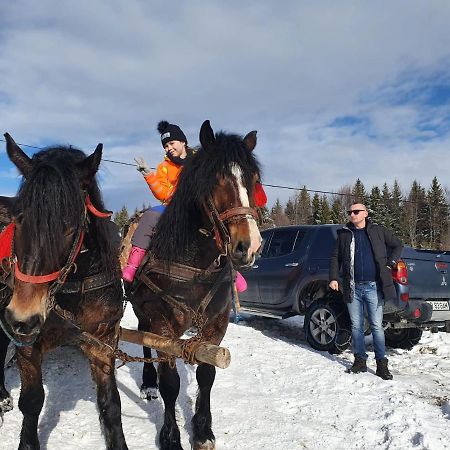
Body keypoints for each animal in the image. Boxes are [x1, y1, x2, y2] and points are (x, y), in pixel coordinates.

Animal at [0, 135, 128, 450]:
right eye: (19, 219)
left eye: (71, 227)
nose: (23, 317)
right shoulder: (27, 345)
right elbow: (32, 402)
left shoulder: (103, 344)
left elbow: (111, 405)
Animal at [129, 120, 264, 450]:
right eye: (215, 179)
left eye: (253, 180)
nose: (249, 246)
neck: (195, 266)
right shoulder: (162, 323)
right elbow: (170, 383)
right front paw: (170, 436)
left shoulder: (216, 323)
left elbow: (206, 375)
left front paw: (202, 431)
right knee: (144, 340)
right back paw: (148, 383)